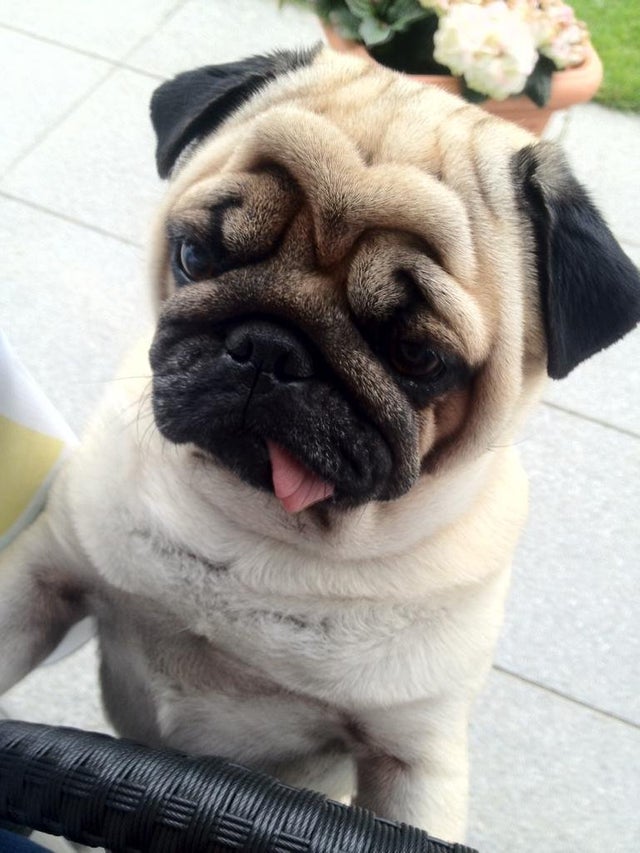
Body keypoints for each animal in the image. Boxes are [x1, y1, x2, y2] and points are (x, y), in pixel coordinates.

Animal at [1, 46, 640, 840]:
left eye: (418, 357)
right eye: (194, 256)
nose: (270, 349)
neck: (252, 532)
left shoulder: (411, 758)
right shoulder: (42, 582)